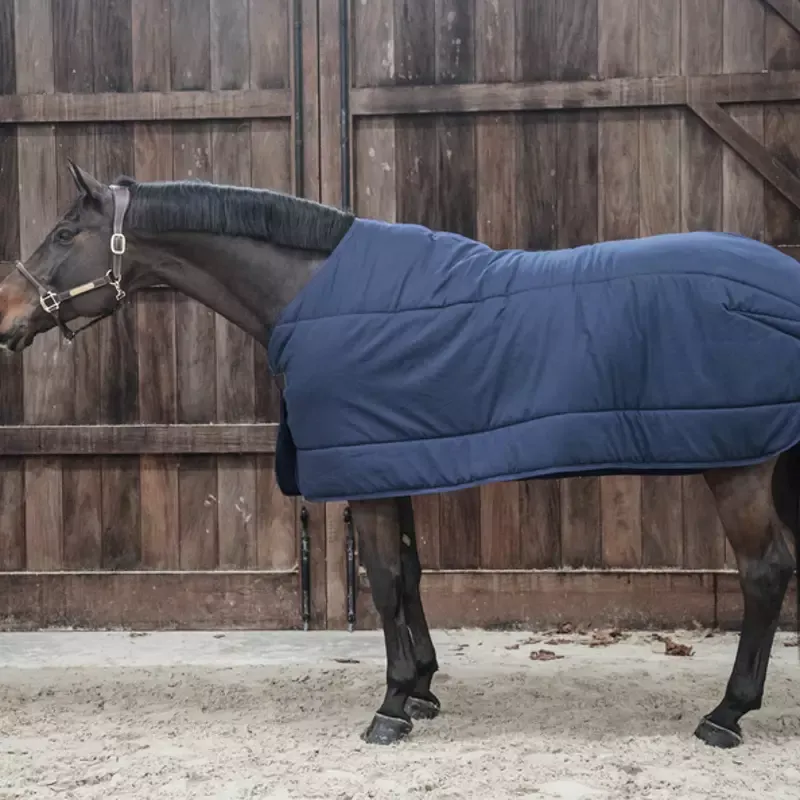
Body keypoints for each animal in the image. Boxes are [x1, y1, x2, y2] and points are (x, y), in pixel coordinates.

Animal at [0, 160, 798, 749]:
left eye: (64, 231)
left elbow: (382, 581)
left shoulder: (369, 473)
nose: (7, 316)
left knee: (764, 572)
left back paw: (726, 714)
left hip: (737, 468)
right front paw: (422, 688)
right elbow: (411, 575)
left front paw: (389, 707)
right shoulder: (395, 458)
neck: (313, 293)